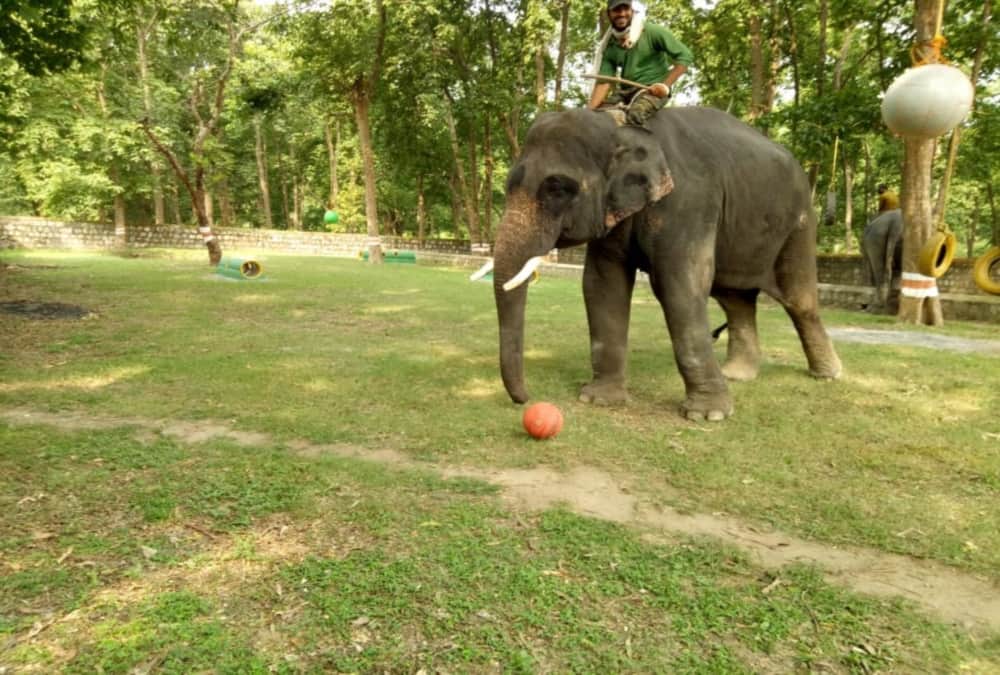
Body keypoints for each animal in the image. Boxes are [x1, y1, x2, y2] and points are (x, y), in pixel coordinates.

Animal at [474, 106, 842, 421]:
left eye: (558, 190)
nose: (526, 400)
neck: (619, 124)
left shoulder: (688, 202)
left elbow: (680, 285)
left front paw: (708, 416)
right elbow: (602, 285)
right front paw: (599, 399)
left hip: (800, 224)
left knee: (798, 299)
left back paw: (828, 375)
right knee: (734, 299)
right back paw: (737, 375)